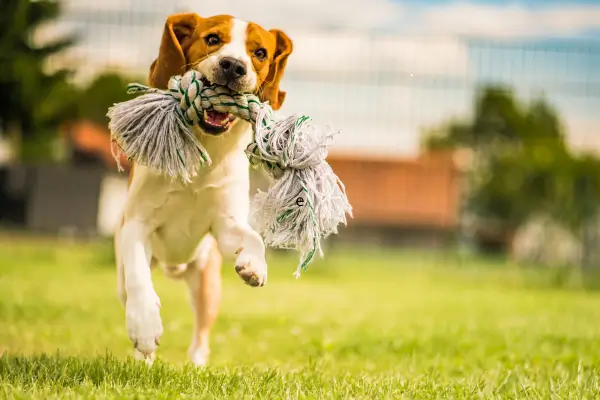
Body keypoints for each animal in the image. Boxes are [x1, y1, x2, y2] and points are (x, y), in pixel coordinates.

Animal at [114, 12, 292, 366]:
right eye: (212, 39)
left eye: (260, 52)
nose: (232, 66)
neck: (204, 148)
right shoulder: (137, 223)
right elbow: (139, 278)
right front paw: (145, 326)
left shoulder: (224, 224)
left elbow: (253, 237)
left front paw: (255, 265)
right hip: (124, 277)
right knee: (132, 286)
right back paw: (144, 357)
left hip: (207, 285)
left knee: (201, 336)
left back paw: (196, 365)